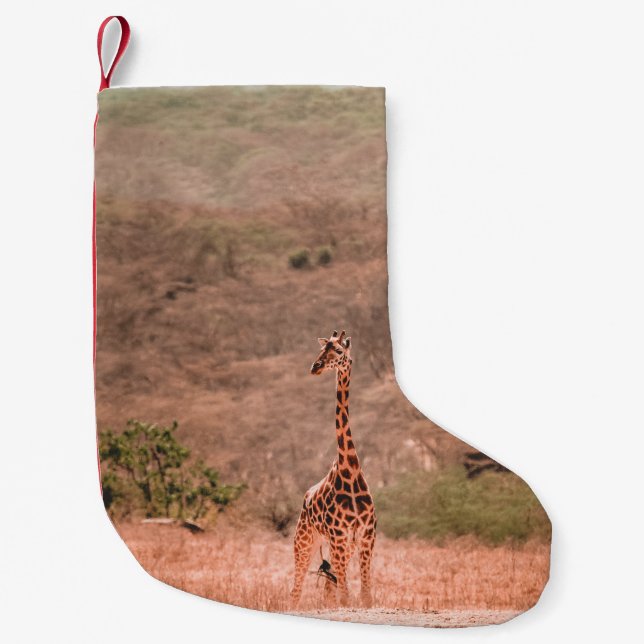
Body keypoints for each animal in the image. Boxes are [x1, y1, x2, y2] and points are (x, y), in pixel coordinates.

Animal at [290, 330, 376, 608]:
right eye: (321, 349)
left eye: (338, 351)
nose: (315, 367)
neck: (350, 470)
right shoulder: (339, 535)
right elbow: (347, 597)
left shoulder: (365, 536)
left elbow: (365, 596)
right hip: (304, 541)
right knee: (295, 590)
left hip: (340, 546)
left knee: (330, 586)